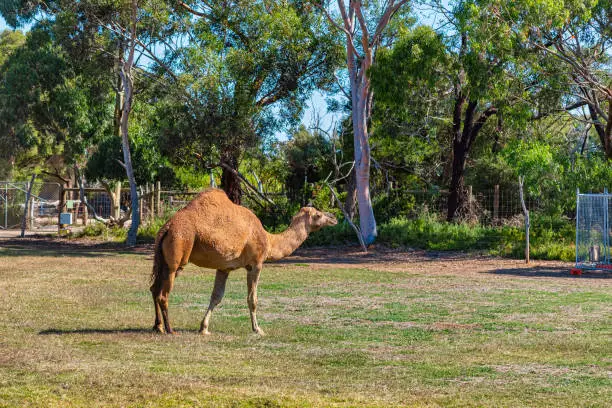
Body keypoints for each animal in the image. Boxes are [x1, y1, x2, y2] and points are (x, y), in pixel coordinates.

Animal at [151, 188, 338, 334]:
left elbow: (216, 297)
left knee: (154, 289)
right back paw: (170, 329)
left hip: (163, 259)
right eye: (318, 214)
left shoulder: (224, 268)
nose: (334, 218)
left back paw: (158, 326)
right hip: (179, 251)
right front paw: (258, 329)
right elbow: (252, 299)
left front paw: (204, 328)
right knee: (163, 294)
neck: (269, 240)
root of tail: (166, 228)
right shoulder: (255, 264)